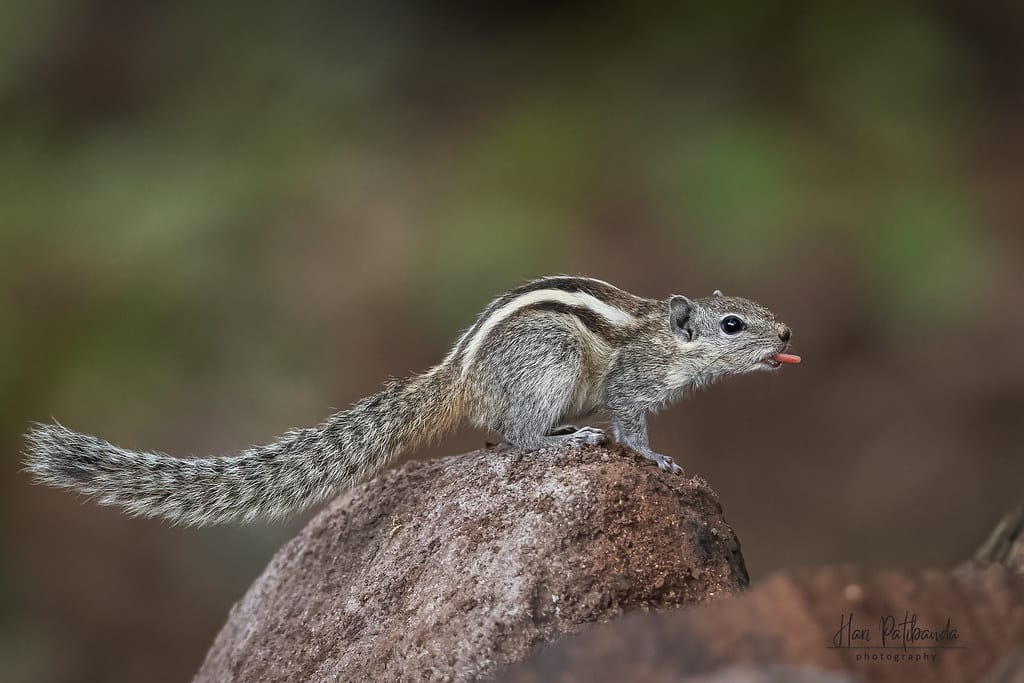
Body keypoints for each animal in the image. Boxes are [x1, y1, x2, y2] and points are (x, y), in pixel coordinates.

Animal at [24, 275, 800, 526]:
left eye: (761, 311)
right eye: (733, 325)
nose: (790, 333)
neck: (669, 339)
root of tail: (458, 377)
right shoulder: (632, 383)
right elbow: (633, 424)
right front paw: (657, 458)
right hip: (548, 362)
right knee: (515, 436)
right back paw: (561, 438)